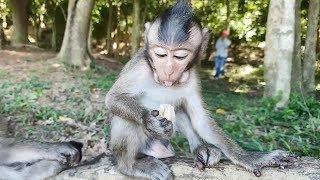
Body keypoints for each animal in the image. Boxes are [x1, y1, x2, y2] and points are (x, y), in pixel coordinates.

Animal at [104, 0, 296, 180]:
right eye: (161, 54)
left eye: (180, 56)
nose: (168, 70)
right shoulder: (140, 67)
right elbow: (113, 98)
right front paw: (150, 121)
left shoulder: (193, 77)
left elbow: (200, 119)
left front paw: (248, 157)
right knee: (126, 119)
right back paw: (130, 165)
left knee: (179, 110)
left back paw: (200, 148)